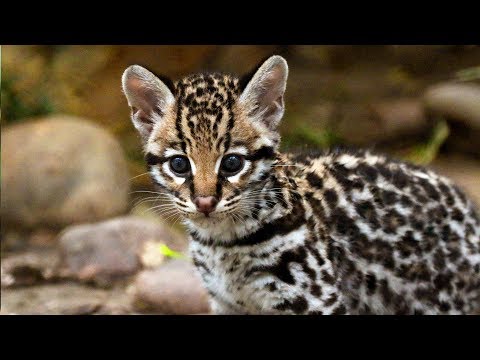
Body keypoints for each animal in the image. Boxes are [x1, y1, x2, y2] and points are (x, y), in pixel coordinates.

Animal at [123, 54, 480, 314]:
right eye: (179, 165)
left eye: (232, 163)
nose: (205, 202)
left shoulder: (316, 299)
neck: (223, 243)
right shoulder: (226, 303)